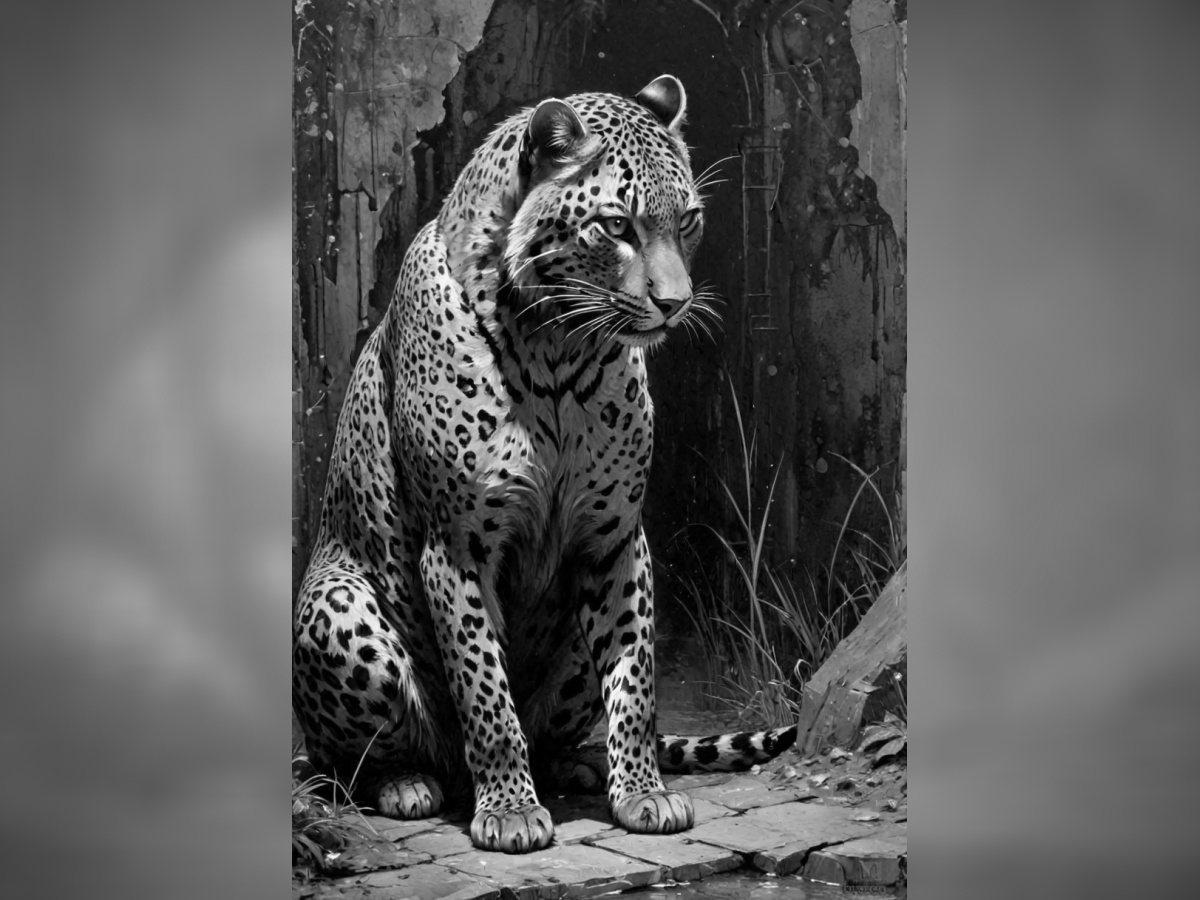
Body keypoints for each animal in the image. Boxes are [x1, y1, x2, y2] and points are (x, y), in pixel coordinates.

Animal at [293, 75, 797, 855]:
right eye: (617, 226)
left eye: (687, 220)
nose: (675, 303)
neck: (559, 351)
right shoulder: (456, 546)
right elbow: (484, 690)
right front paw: (508, 810)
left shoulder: (616, 538)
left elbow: (634, 679)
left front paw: (644, 792)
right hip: (335, 604)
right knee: (347, 761)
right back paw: (408, 783)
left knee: (558, 725)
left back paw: (577, 765)